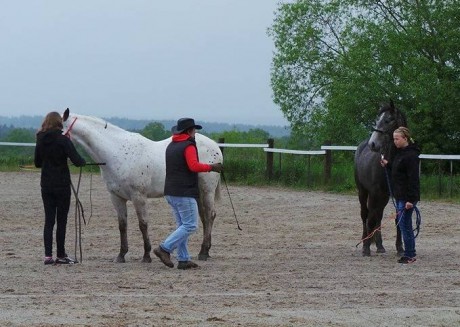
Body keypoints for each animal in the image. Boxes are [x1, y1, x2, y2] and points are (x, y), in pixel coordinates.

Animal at [354, 101, 408, 258]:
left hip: (383, 196)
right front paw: (366, 248)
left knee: (378, 215)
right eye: (377, 119)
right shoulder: (373, 193)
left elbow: (398, 219)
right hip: (363, 192)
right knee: (366, 214)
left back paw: (379, 245)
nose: (373, 144)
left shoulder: (399, 194)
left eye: (388, 120)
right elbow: (370, 218)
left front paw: (400, 248)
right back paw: (366, 242)